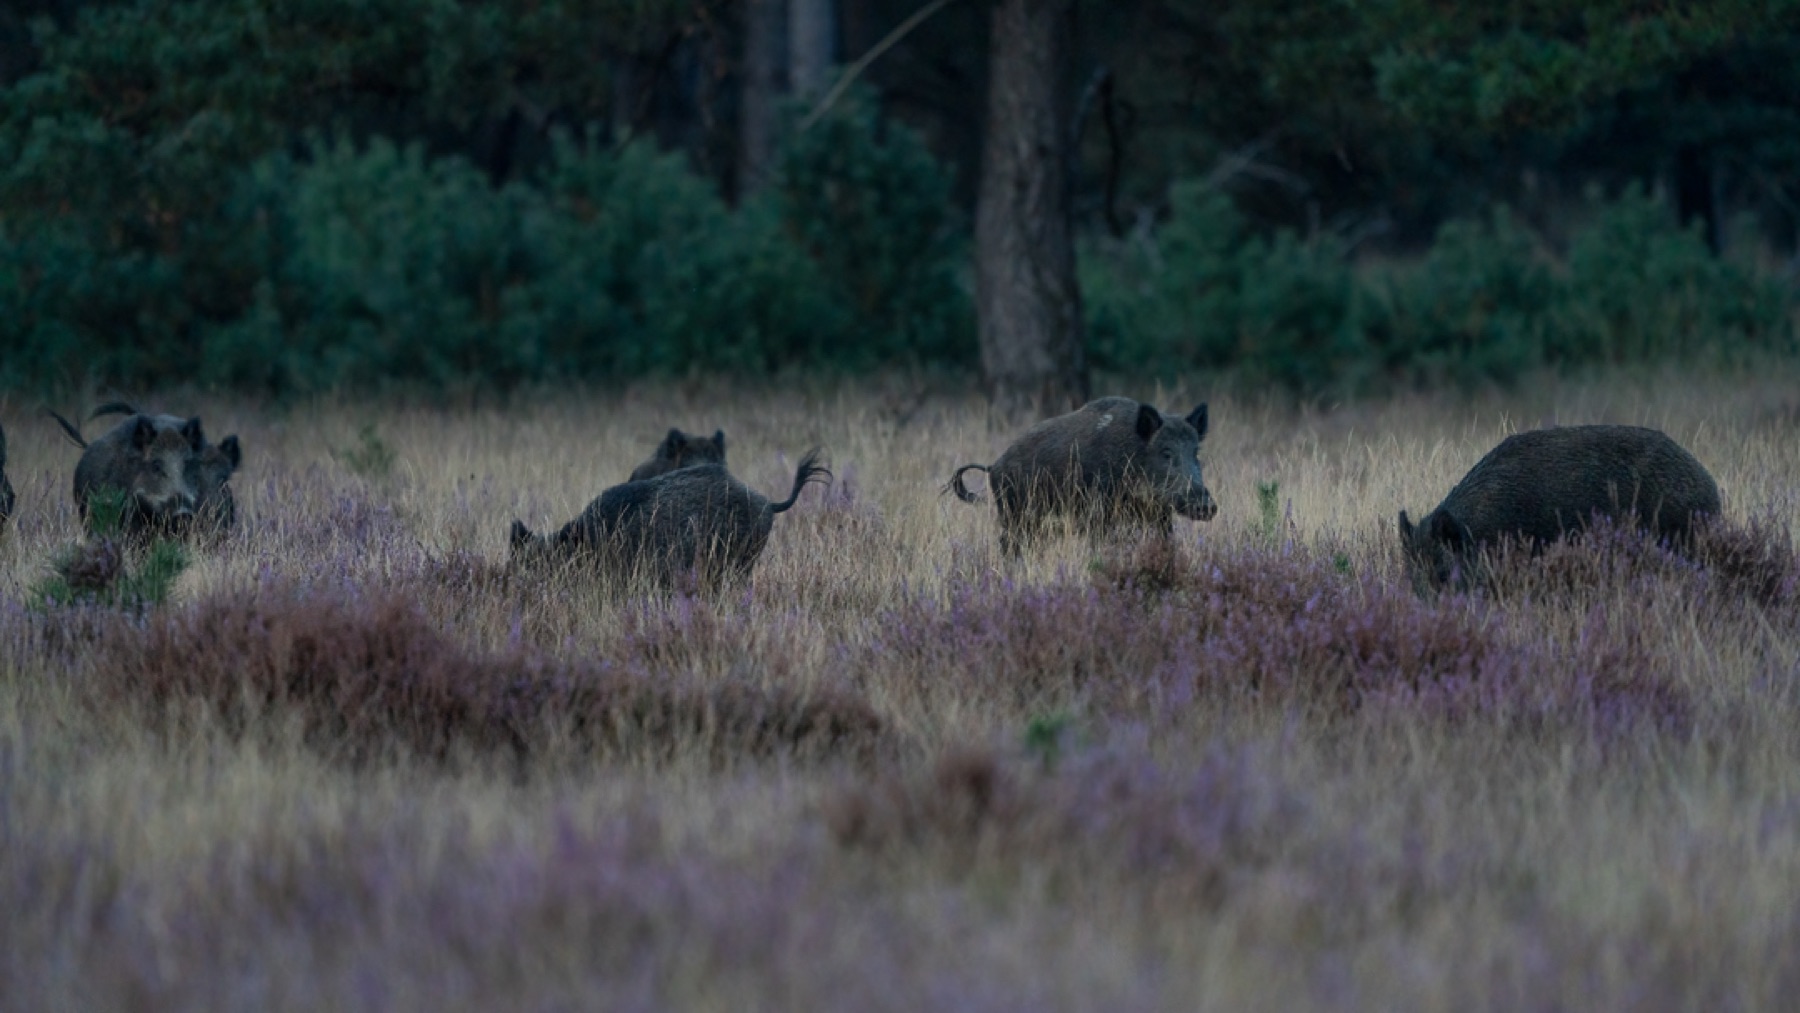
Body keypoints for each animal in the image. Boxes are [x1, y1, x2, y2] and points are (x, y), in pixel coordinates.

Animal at [948, 397, 1217, 555]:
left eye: (1195, 452)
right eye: (1166, 452)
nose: (1206, 506)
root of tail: (993, 466)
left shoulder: (1159, 517)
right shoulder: (1099, 514)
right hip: (1013, 516)